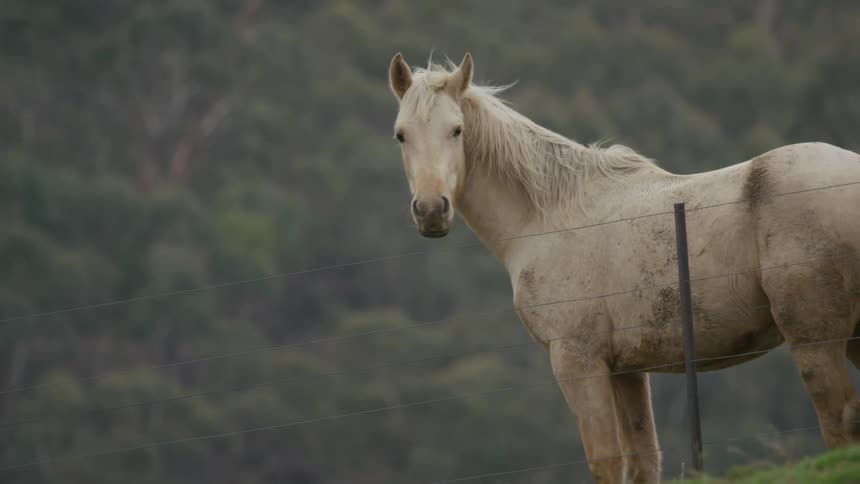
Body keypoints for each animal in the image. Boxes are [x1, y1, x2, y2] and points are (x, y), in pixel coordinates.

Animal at [386, 52, 860, 483]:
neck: (547, 215)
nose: (431, 210)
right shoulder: (627, 371)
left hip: (815, 341)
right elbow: (643, 460)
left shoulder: (578, 362)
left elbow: (607, 462)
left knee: (839, 424)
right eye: (401, 135)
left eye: (457, 130)